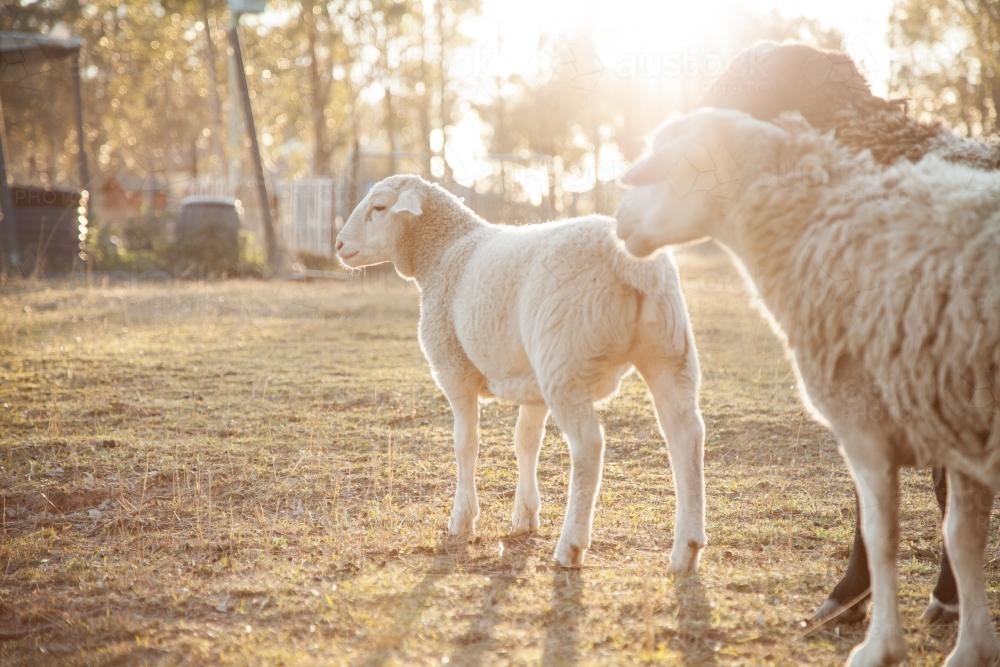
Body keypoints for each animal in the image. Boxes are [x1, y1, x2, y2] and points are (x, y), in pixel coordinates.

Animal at [332, 175, 708, 572]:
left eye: (379, 207)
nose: (339, 245)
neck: (444, 251)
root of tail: (631, 263)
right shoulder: (532, 384)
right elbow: (526, 441)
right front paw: (525, 515)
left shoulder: (454, 369)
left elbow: (466, 443)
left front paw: (462, 518)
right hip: (669, 350)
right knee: (685, 434)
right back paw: (687, 548)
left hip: (564, 361)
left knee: (589, 446)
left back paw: (571, 545)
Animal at [616, 107, 1000, 664]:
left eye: (665, 166)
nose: (618, 220)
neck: (815, 224)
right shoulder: (958, 422)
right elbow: (963, 538)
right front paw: (971, 647)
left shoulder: (866, 422)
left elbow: (881, 535)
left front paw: (879, 645)